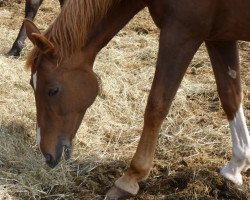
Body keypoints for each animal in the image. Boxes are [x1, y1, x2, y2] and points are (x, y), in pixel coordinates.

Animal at [24, 0, 250, 198]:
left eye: (53, 90)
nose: (47, 154)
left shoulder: (181, 33)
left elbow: (157, 105)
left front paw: (130, 178)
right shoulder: (219, 38)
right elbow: (230, 96)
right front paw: (235, 167)